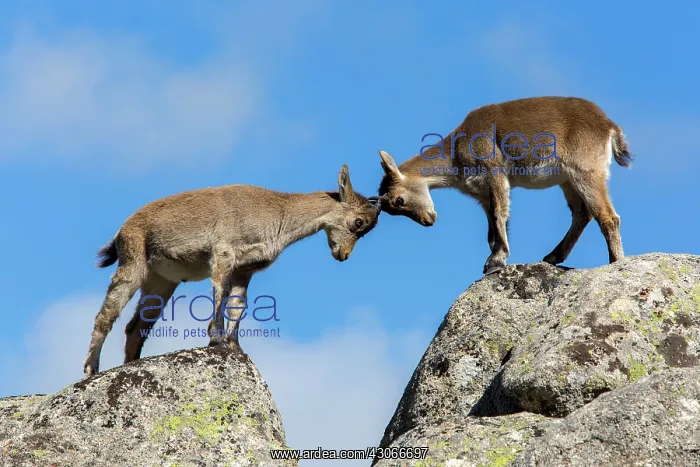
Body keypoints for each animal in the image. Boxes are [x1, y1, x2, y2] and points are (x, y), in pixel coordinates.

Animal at [83, 165, 381, 377]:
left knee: (136, 327)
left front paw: (235, 346)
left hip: (161, 282)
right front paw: (216, 338)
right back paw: (91, 370)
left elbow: (238, 304)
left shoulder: (245, 270)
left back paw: (130, 365)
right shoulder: (224, 254)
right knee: (105, 317)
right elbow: (219, 292)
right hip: (133, 264)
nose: (342, 255)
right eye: (358, 223)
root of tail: (121, 231)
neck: (278, 215)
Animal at [375, 96, 632, 274]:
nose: (428, 220)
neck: (456, 153)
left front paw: (495, 262)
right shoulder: (481, 193)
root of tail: (609, 126)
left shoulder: (494, 171)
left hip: (586, 170)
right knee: (582, 213)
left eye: (399, 200)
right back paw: (553, 256)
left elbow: (499, 213)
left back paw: (616, 262)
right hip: (567, 179)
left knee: (607, 215)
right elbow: (493, 226)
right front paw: (494, 256)